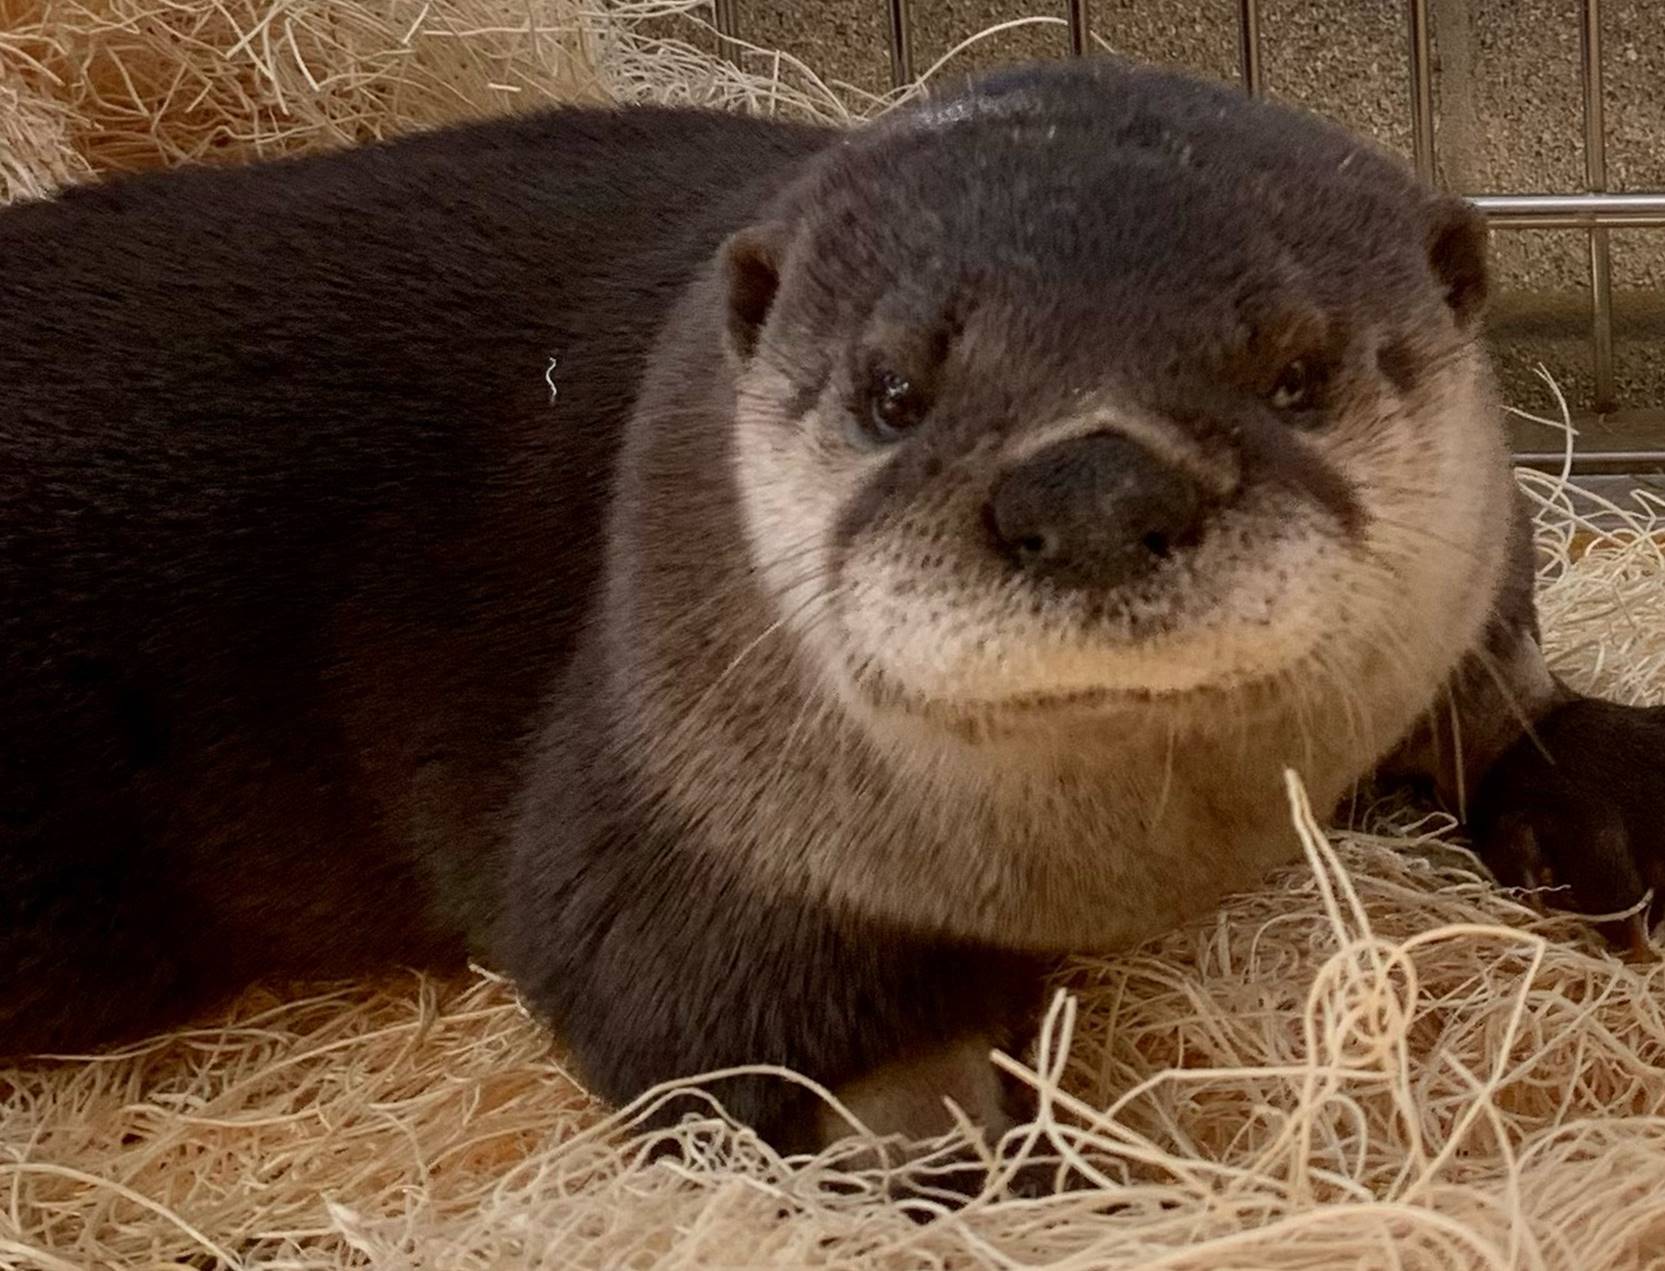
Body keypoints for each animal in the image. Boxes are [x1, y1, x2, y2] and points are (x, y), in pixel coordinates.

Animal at [3, 57, 1665, 1172]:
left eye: (1298, 371)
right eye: (893, 389)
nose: (1090, 488)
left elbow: (1512, 720)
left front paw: (1623, 816)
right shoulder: (676, 810)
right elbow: (694, 1000)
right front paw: (969, 1155)